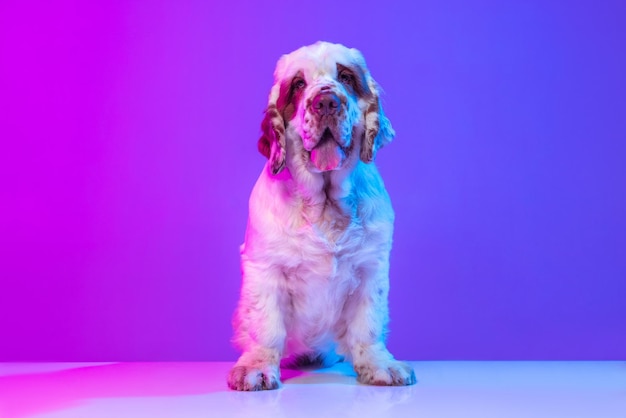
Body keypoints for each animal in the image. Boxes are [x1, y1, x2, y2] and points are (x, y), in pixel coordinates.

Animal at [227, 40, 412, 390]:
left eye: (346, 77)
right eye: (299, 85)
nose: (326, 101)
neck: (326, 204)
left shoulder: (371, 266)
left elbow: (368, 323)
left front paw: (380, 365)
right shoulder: (264, 267)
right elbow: (266, 325)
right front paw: (256, 367)